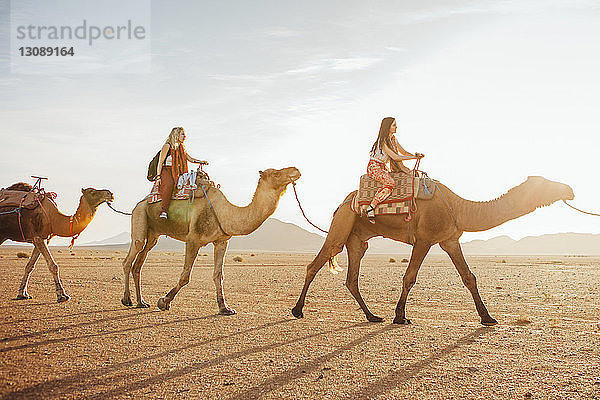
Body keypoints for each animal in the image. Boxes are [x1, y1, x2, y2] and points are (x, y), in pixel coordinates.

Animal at [122, 167, 300, 314]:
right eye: (276, 173)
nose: (296, 170)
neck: (224, 213)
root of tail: (140, 202)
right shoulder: (193, 239)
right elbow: (185, 276)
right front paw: (164, 301)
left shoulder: (221, 241)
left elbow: (218, 275)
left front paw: (225, 308)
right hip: (139, 215)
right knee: (132, 254)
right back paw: (127, 300)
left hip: (153, 234)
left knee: (139, 262)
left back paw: (141, 302)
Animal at [292, 175, 576, 324]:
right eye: (547, 182)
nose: (570, 189)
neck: (460, 208)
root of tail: (342, 203)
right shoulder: (425, 239)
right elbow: (409, 277)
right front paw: (400, 316)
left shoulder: (450, 240)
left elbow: (469, 277)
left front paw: (487, 318)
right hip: (342, 225)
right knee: (316, 263)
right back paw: (297, 310)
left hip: (358, 239)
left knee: (352, 278)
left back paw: (372, 316)